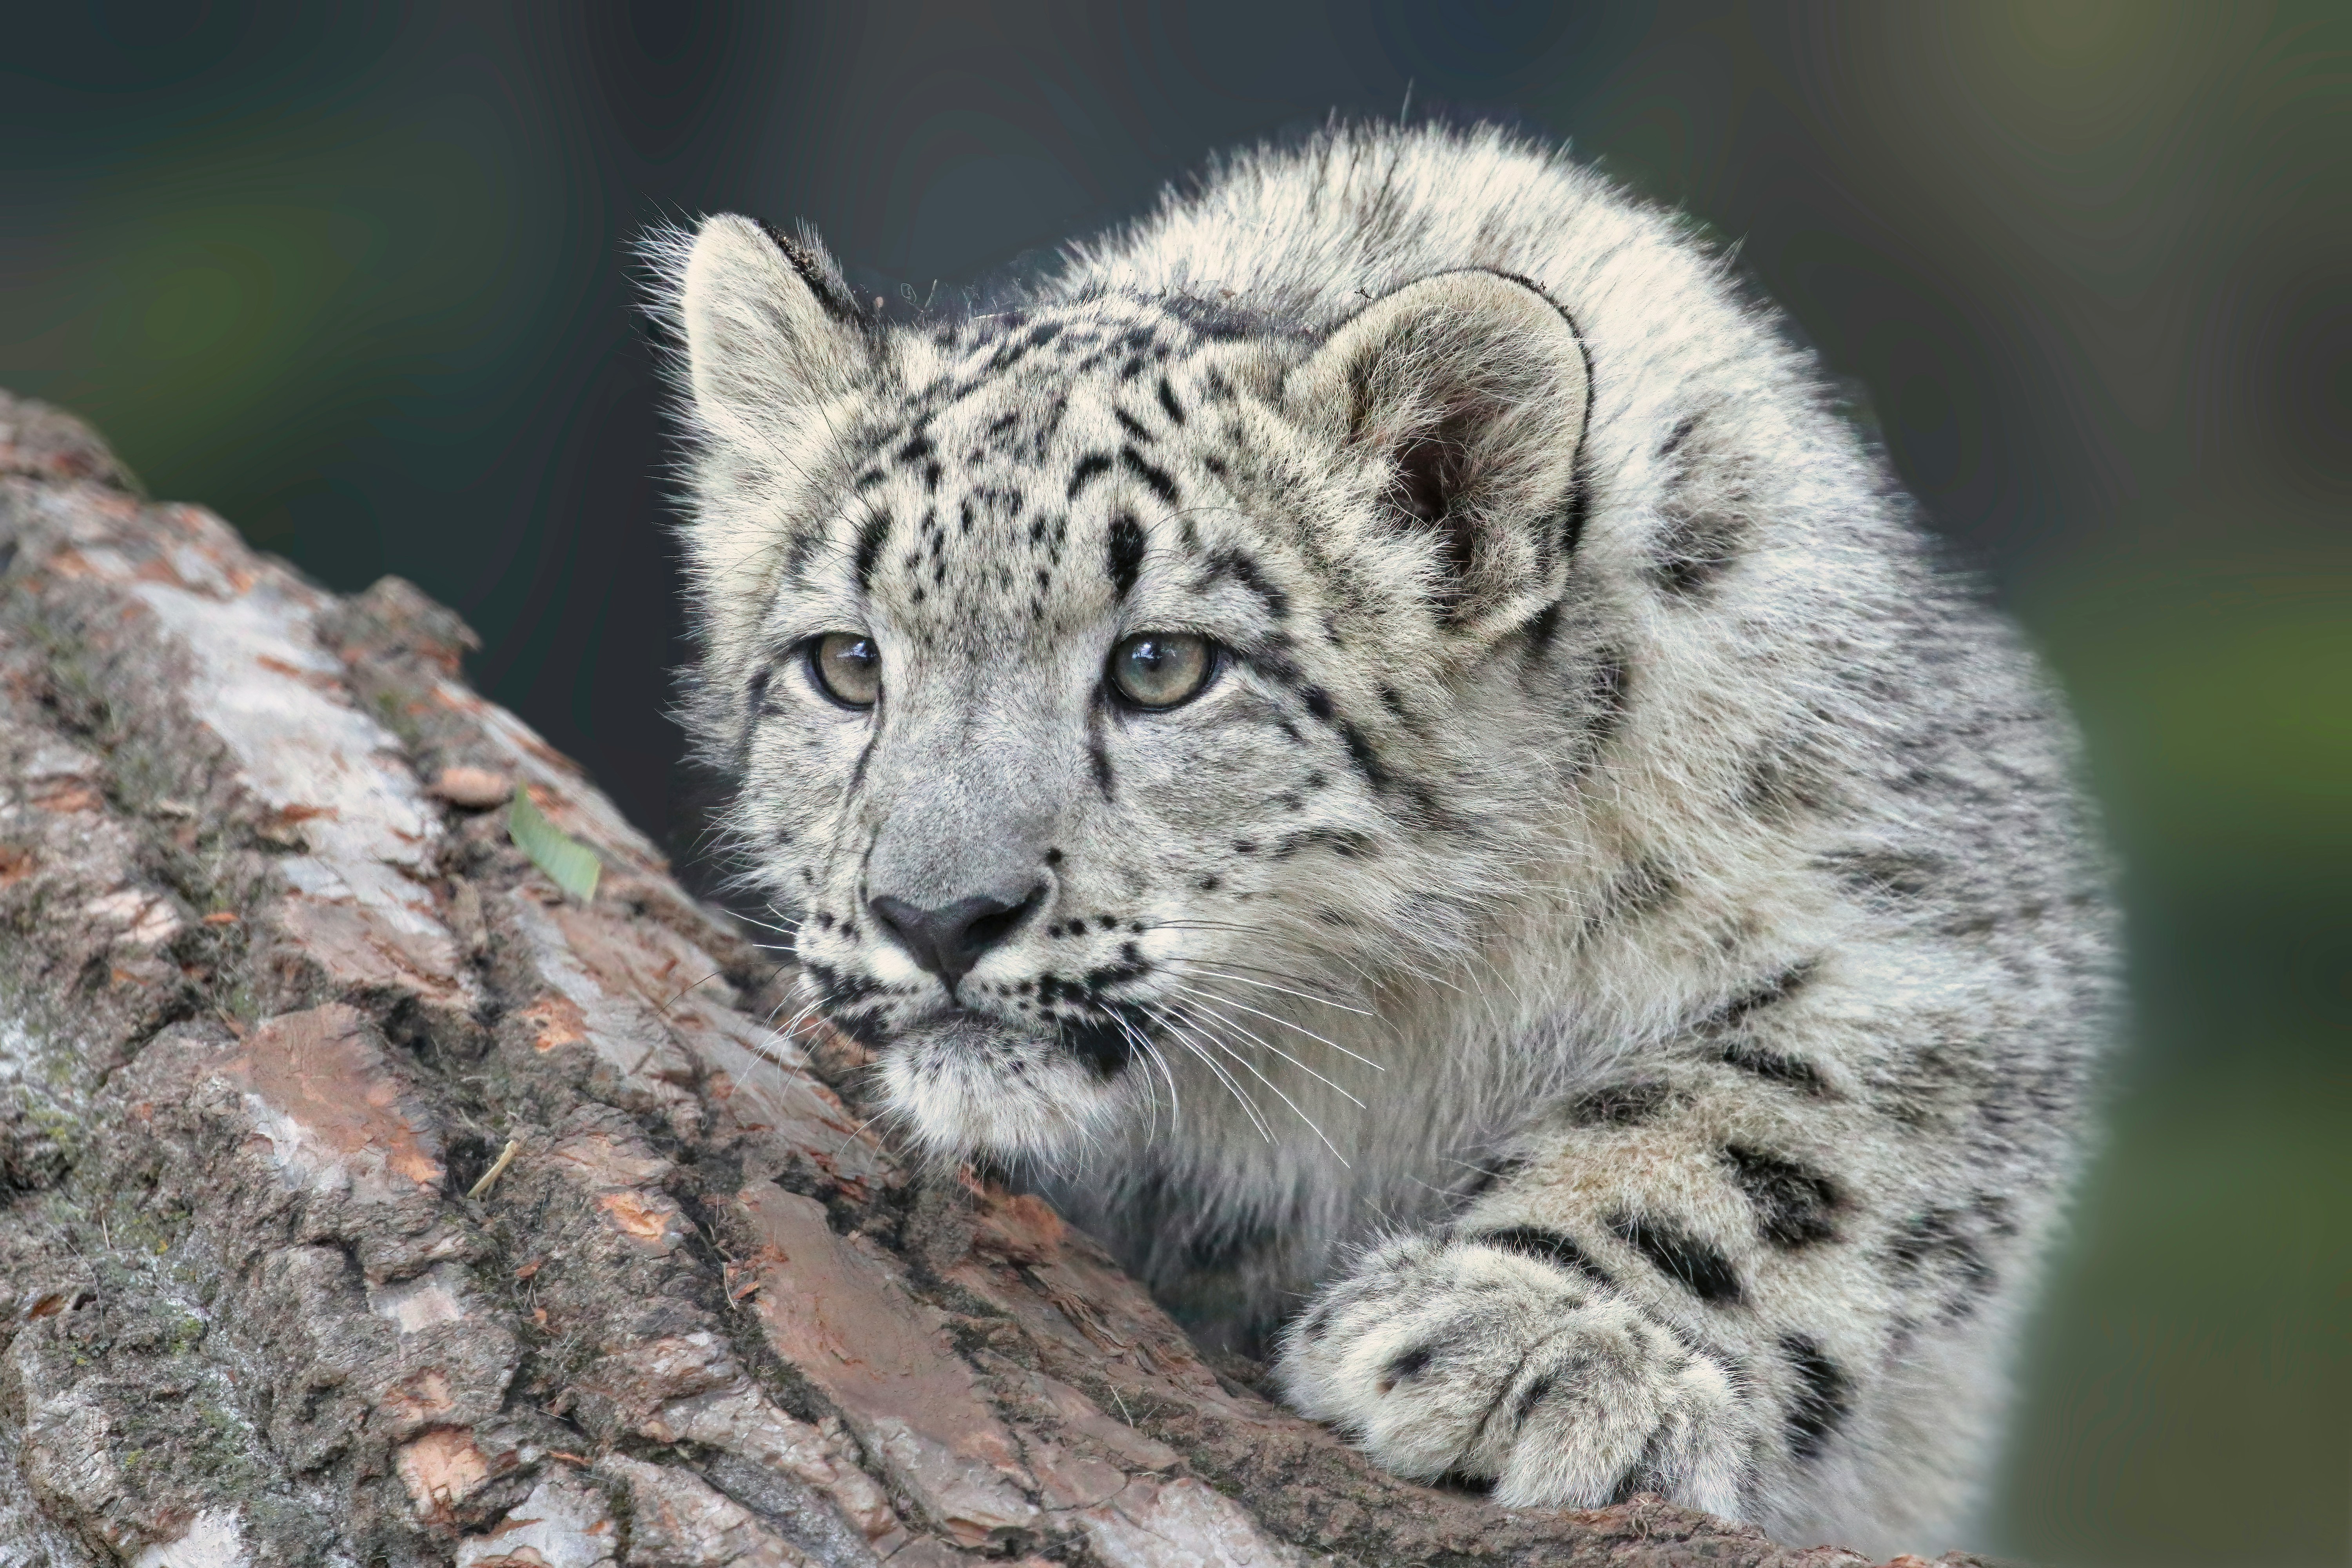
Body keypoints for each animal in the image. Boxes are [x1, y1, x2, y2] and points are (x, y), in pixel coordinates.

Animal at [644, 120, 2113, 1558]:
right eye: (846, 662)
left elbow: (1760, 1128)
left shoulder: (1930, 920)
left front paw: (1531, 1341)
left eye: (1162, 665)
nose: (939, 917)